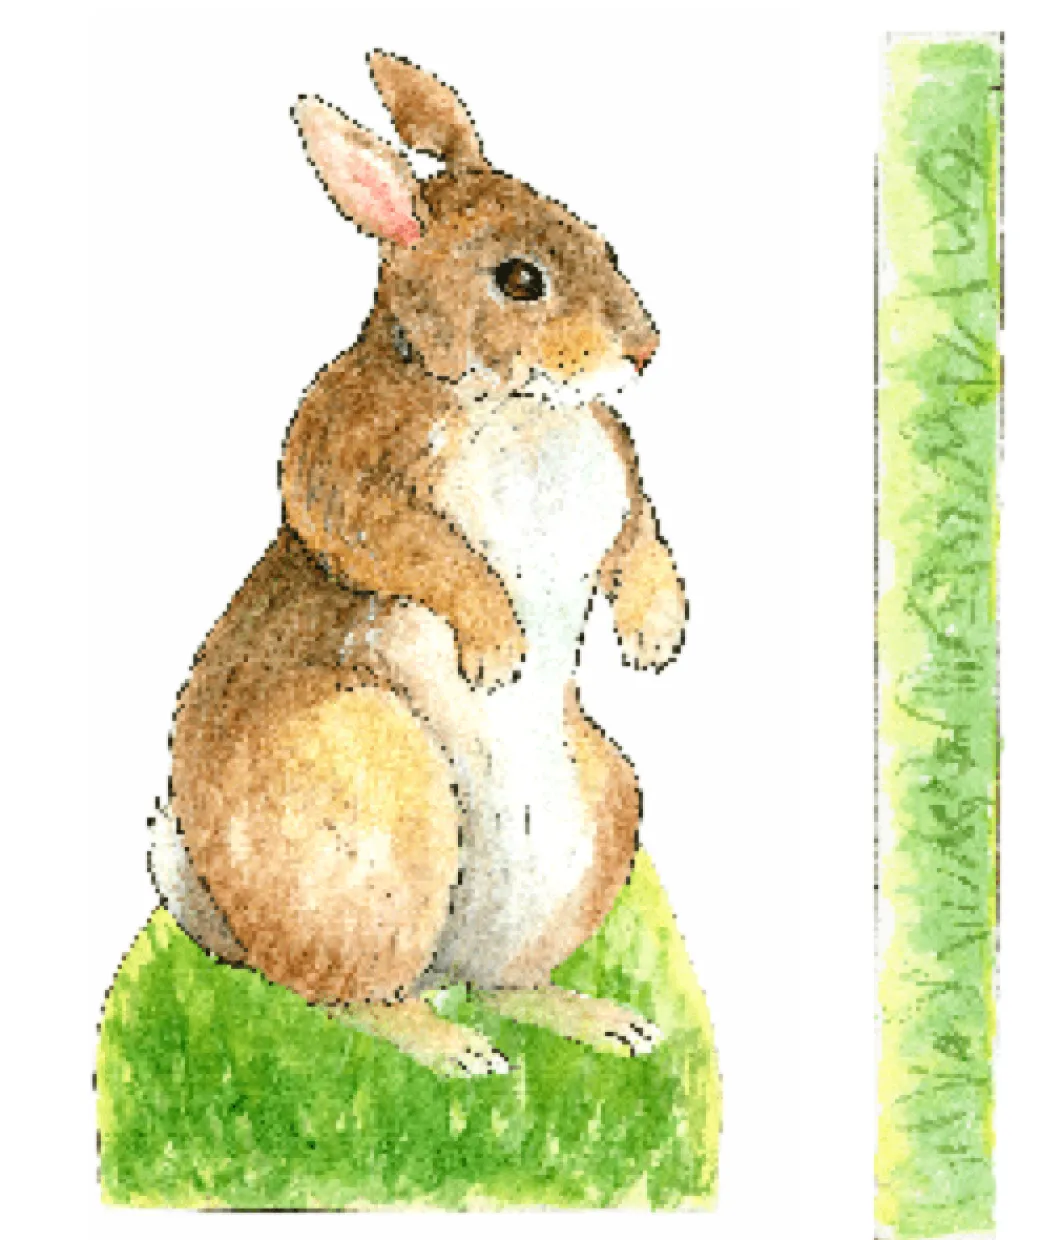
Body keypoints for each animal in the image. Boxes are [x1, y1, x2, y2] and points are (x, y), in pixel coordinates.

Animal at [151, 50, 687, 1077]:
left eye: (599, 240)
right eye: (519, 279)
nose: (644, 348)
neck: (508, 402)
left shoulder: (623, 483)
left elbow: (639, 536)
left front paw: (654, 637)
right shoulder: (347, 480)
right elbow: (417, 550)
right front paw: (499, 652)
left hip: (601, 808)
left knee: (499, 982)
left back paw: (606, 1025)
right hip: (376, 790)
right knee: (349, 1000)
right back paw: (453, 1050)